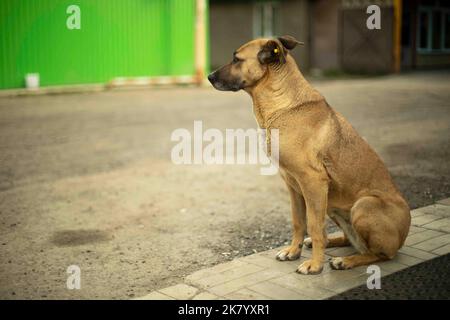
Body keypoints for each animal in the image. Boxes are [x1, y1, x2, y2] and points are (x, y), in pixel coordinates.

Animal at [207, 35, 412, 276]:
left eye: (236, 59)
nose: (209, 77)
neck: (282, 103)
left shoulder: (313, 182)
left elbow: (314, 225)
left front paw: (315, 265)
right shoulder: (293, 185)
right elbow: (299, 222)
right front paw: (293, 251)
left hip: (363, 205)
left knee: (381, 254)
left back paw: (346, 261)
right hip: (333, 206)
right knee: (350, 240)